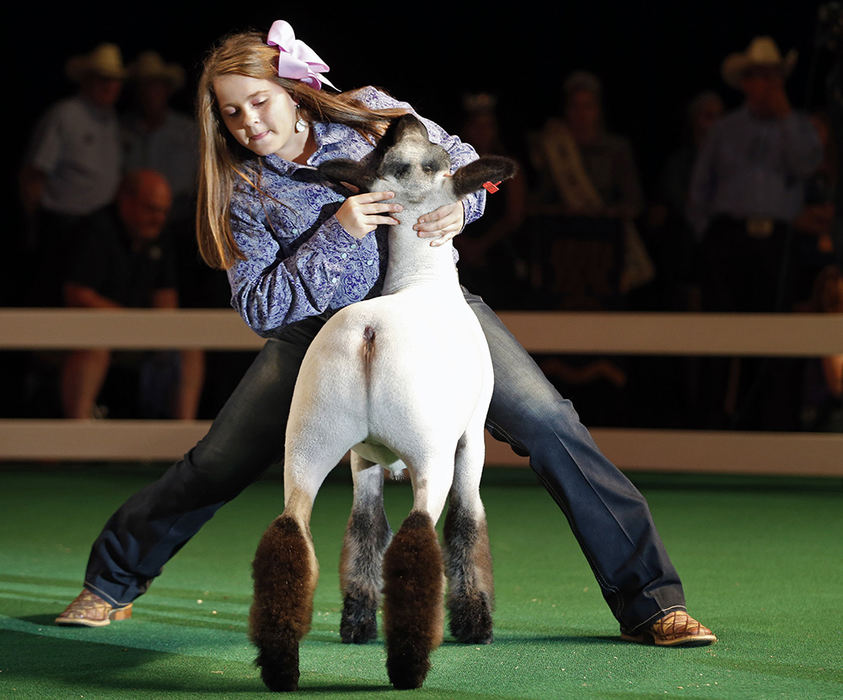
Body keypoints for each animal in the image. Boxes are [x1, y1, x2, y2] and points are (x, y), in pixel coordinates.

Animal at [247, 113, 516, 688]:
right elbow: (468, 523)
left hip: (309, 442)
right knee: (417, 540)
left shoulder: (362, 459)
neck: (419, 280)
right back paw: (409, 665)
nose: (404, 118)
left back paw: (281, 667)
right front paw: (476, 623)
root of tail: (369, 331)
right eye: (435, 158)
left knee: (289, 535)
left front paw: (356, 623)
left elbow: (365, 531)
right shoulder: (471, 438)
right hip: (430, 453)